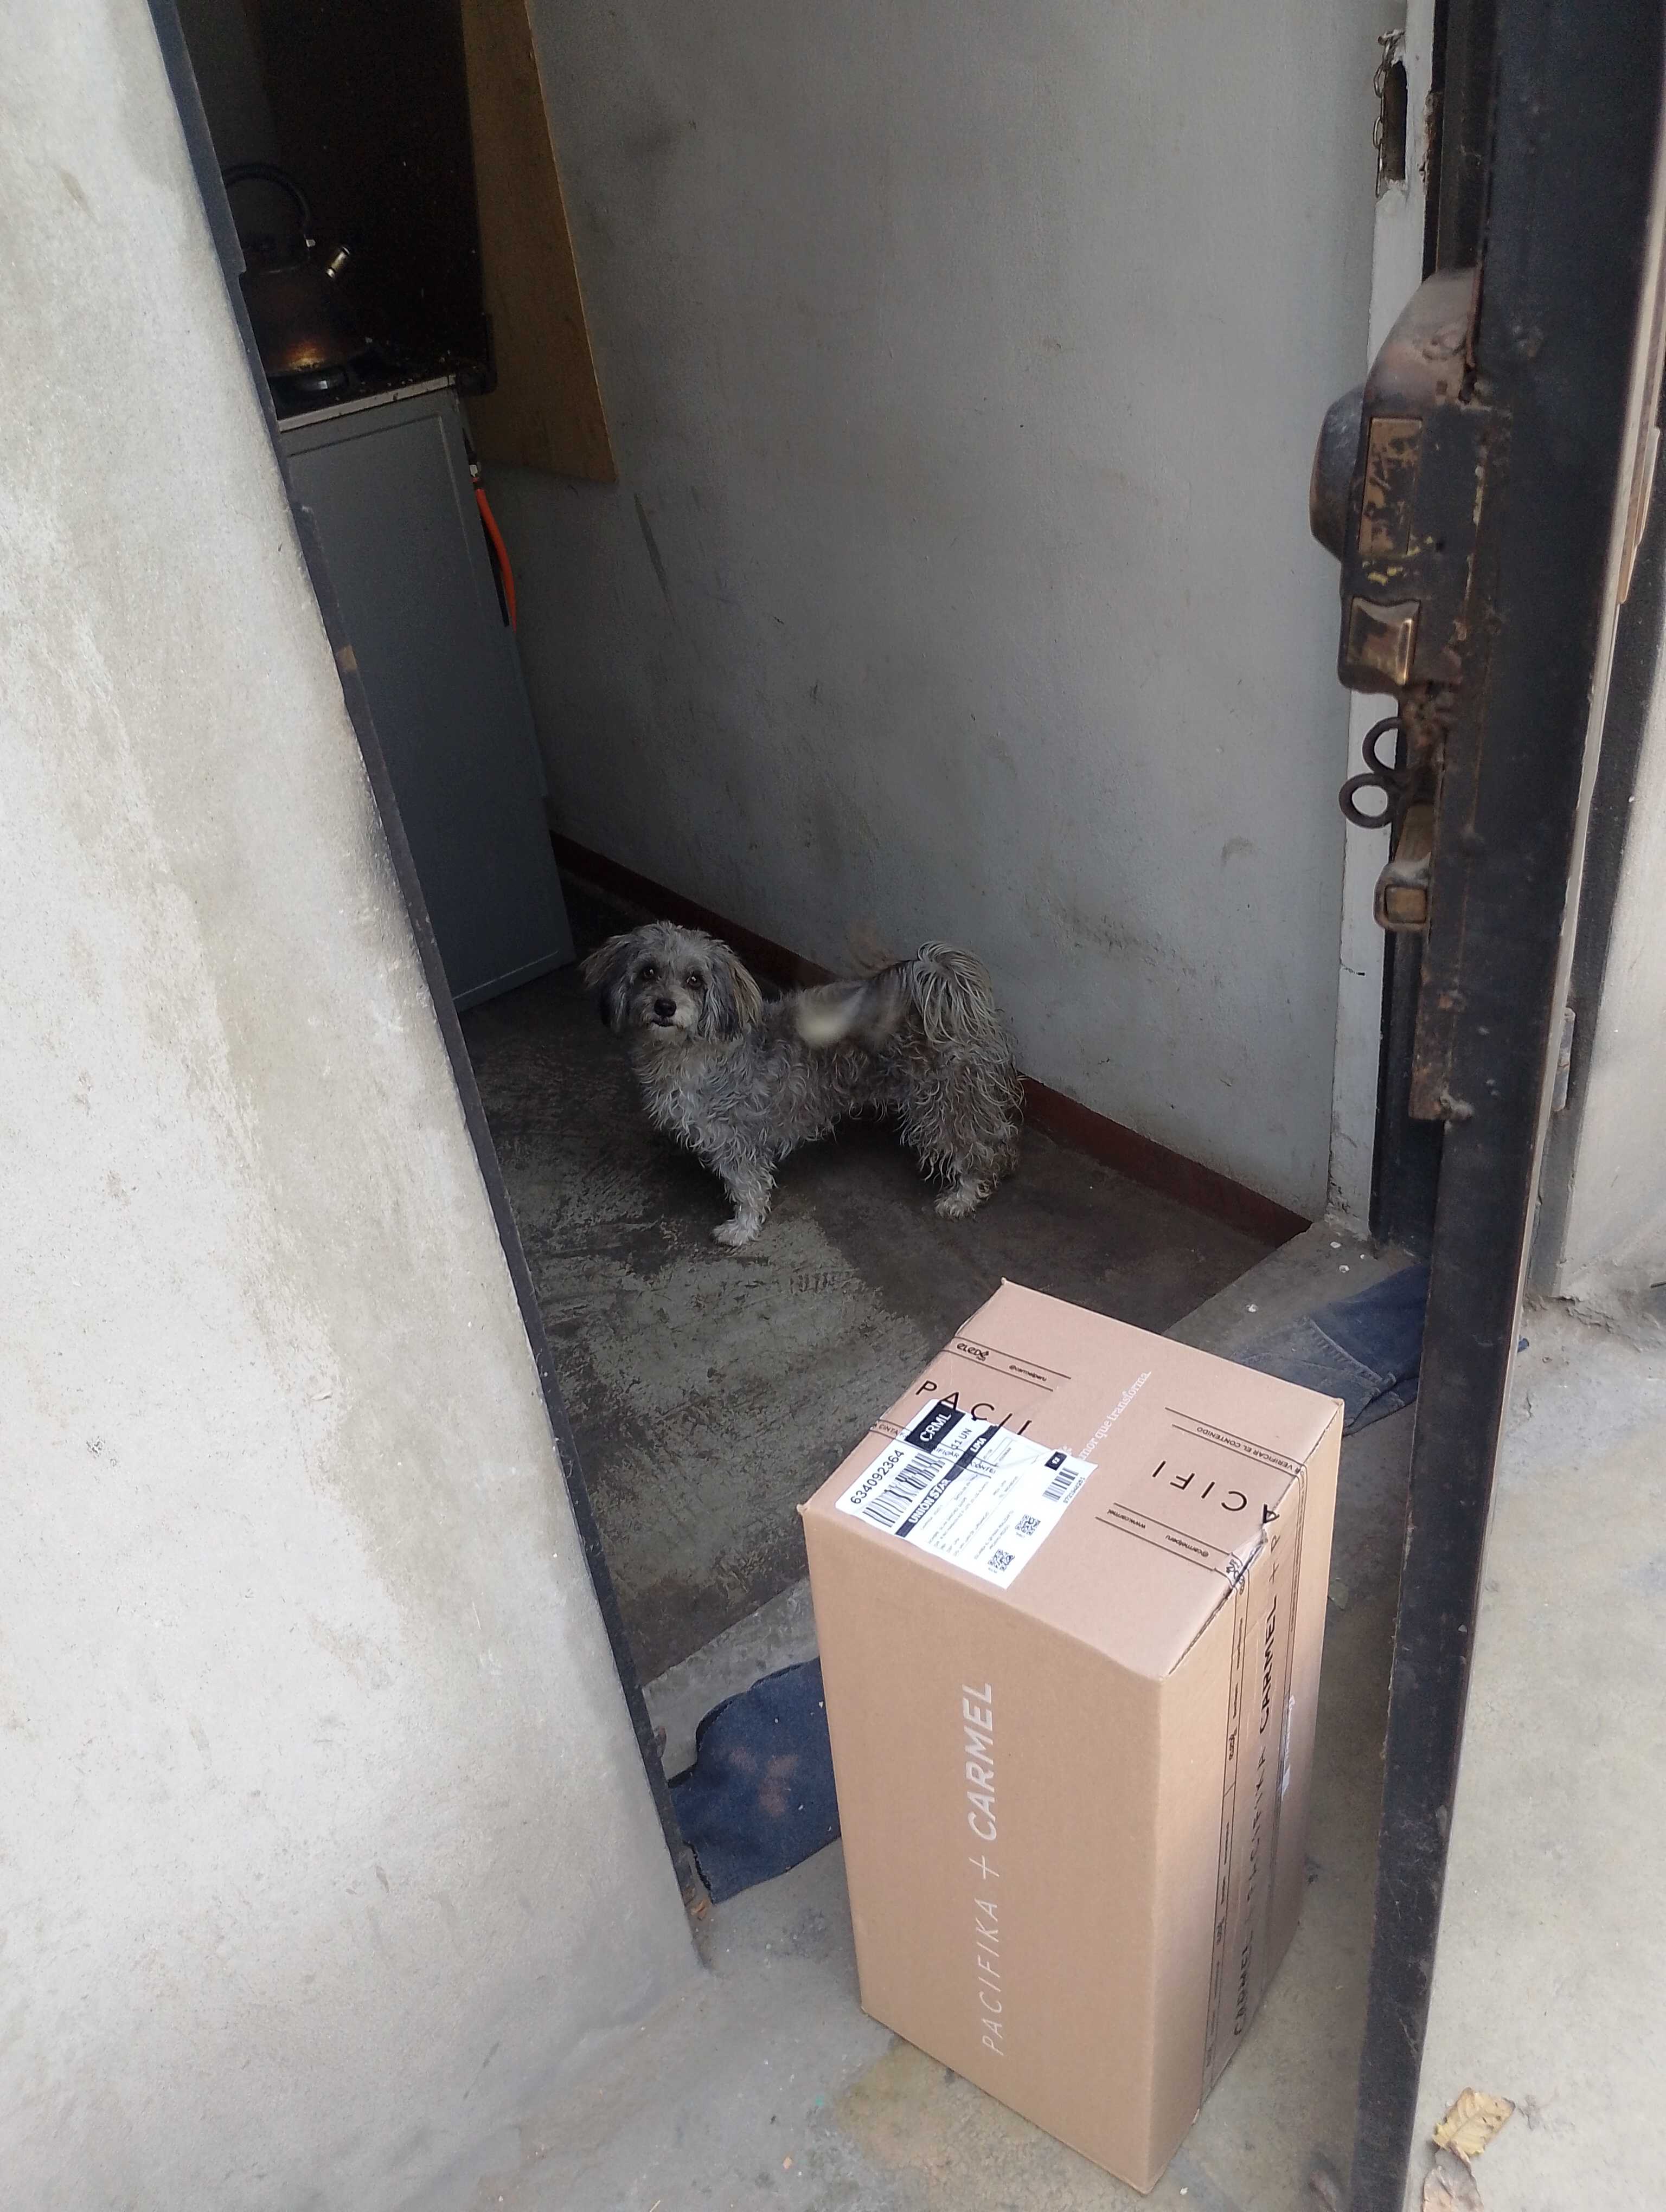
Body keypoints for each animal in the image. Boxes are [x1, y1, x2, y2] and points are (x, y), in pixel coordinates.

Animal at [583, 921, 1022, 1246]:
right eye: (648, 971)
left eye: (695, 979)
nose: (665, 1007)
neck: (694, 1051)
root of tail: (948, 991)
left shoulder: (737, 1140)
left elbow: (748, 1188)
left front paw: (741, 1230)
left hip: (941, 1108)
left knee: (982, 1150)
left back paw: (962, 1197)